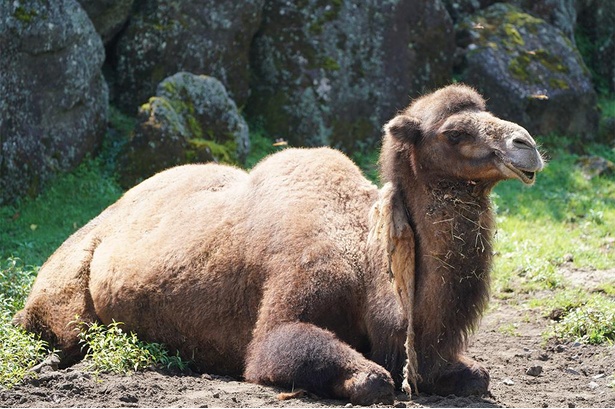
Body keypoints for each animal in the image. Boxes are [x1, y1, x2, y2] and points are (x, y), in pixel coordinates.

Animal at [13, 84, 544, 404]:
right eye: (453, 132)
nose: (526, 144)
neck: (368, 266)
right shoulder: (290, 300)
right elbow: (362, 375)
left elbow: (476, 375)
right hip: (65, 292)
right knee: (65, 332)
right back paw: (48, 363)